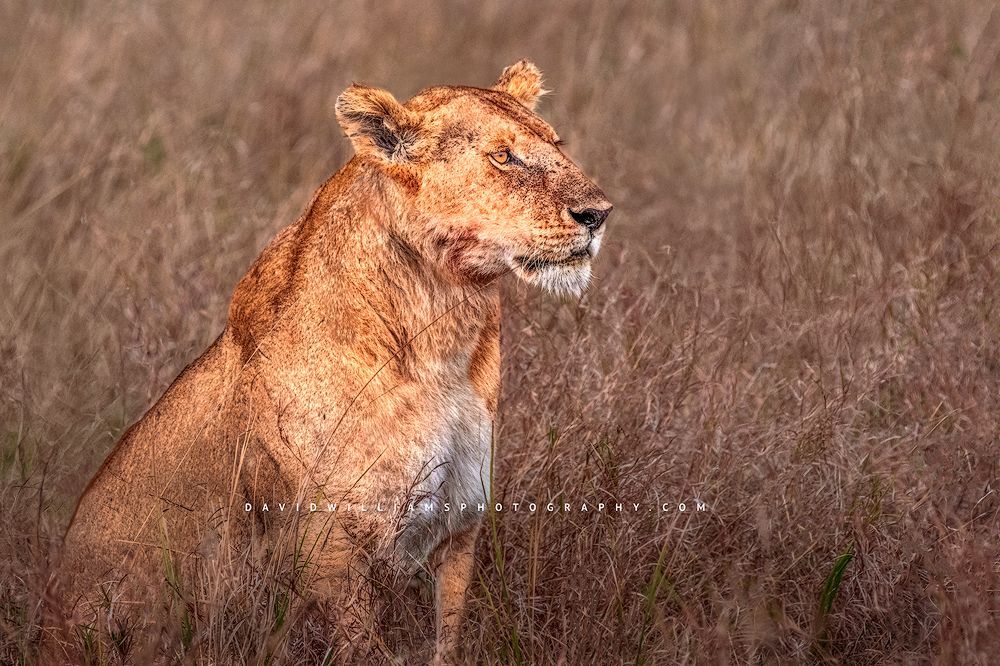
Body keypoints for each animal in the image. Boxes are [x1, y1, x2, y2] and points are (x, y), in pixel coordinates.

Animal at [42, 60, 611, 664]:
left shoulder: (460, 526)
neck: (446, 330)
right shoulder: (328, 545)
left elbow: (447, 637)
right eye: (504, 157)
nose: (599, 214)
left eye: (556, 144)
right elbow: (364, 647)